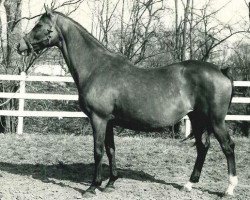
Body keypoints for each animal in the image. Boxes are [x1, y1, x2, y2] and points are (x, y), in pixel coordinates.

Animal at [16, 7, 237, 196]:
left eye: (39, 25)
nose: (20, 45)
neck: (95, 67)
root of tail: (221, 71)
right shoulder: (109, 121)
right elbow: (111, 150)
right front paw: (110, 183)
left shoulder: (98, 119)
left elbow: (98, 151)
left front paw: (92, 187)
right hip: (197, 119)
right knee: (202, 147)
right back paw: (189, 184)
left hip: (216, 121)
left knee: (228, 146)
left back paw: (229, 188)